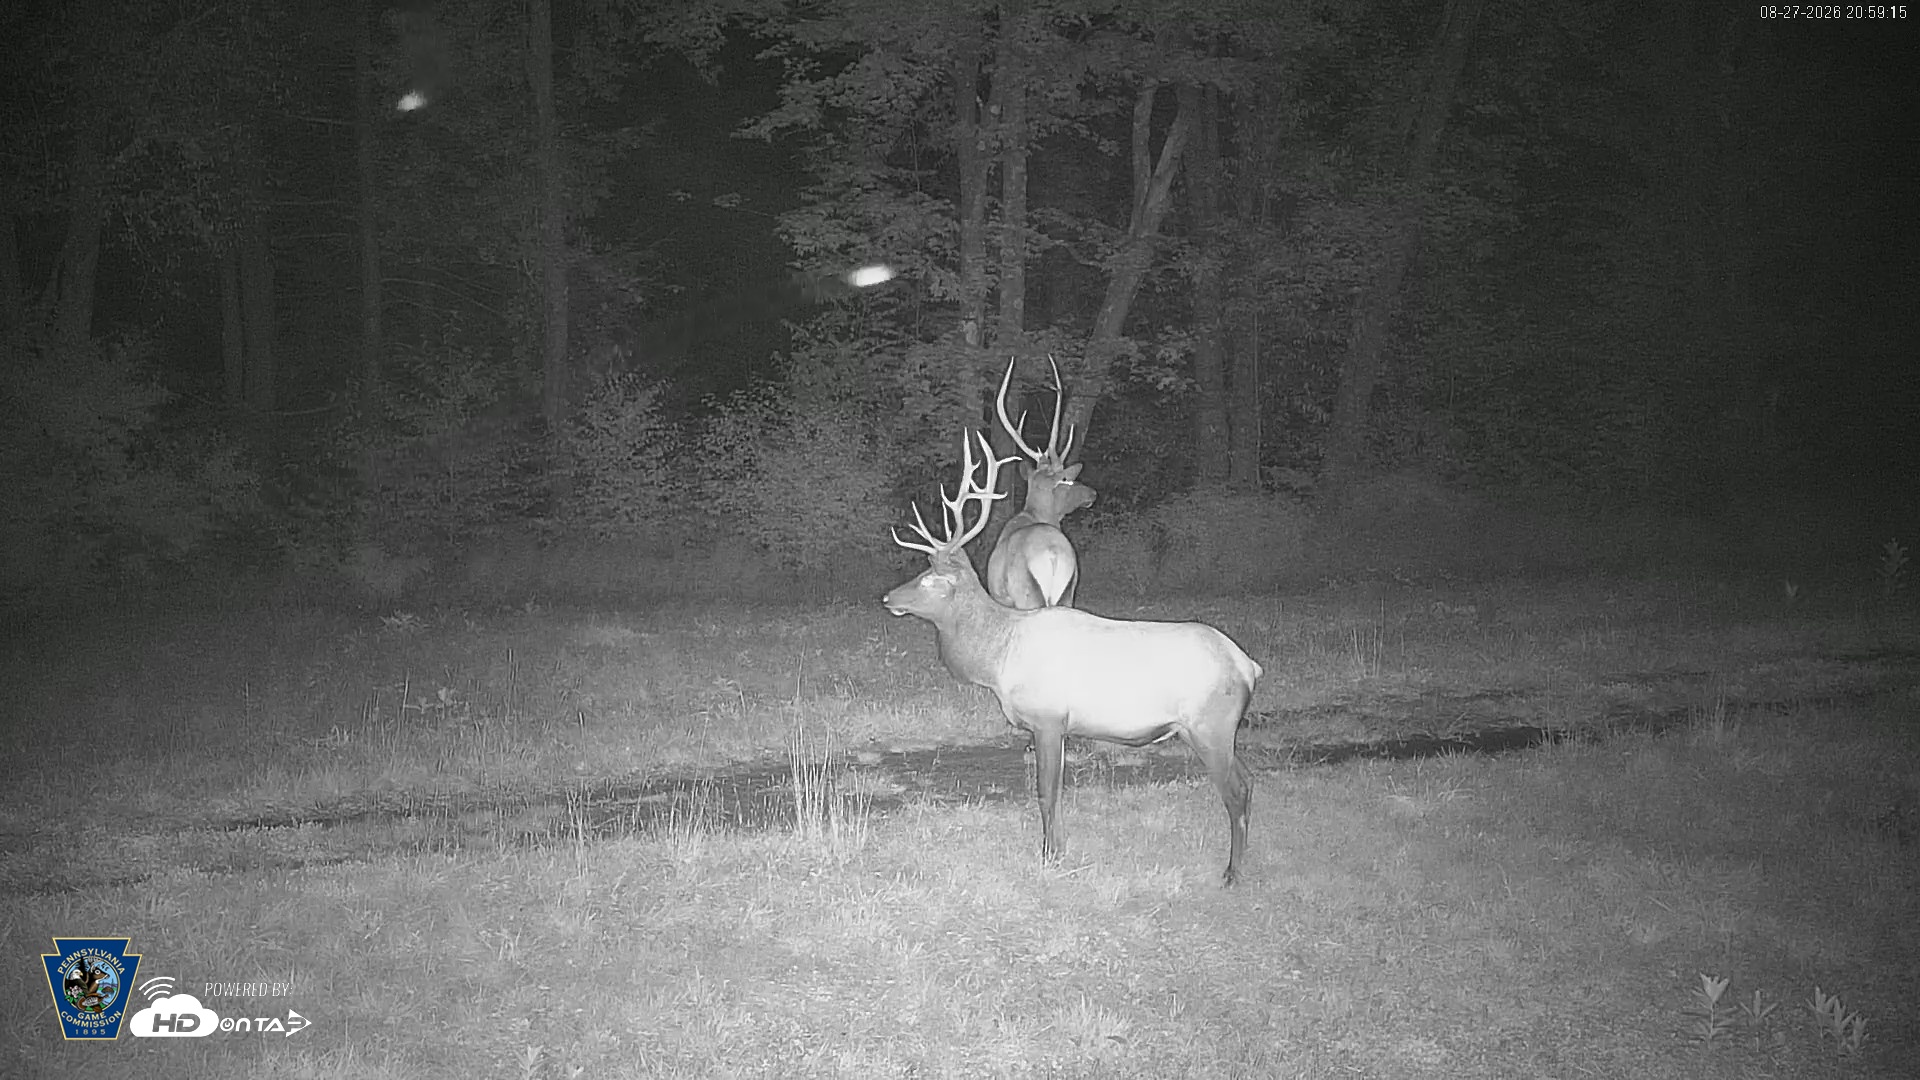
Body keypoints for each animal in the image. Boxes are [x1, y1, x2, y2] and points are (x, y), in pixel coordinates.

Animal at [884, 431, 1262, 885]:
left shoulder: (1049, 718)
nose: (888, 598)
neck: (999, 660)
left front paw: (1051, 854)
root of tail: (1248, 666)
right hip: (1205, 730)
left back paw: (1232, 873)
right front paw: (1057, 850)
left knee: (1236, 790)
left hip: (1211, 725)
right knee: (1249, 779)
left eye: (931, 579)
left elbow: (1047, 791)